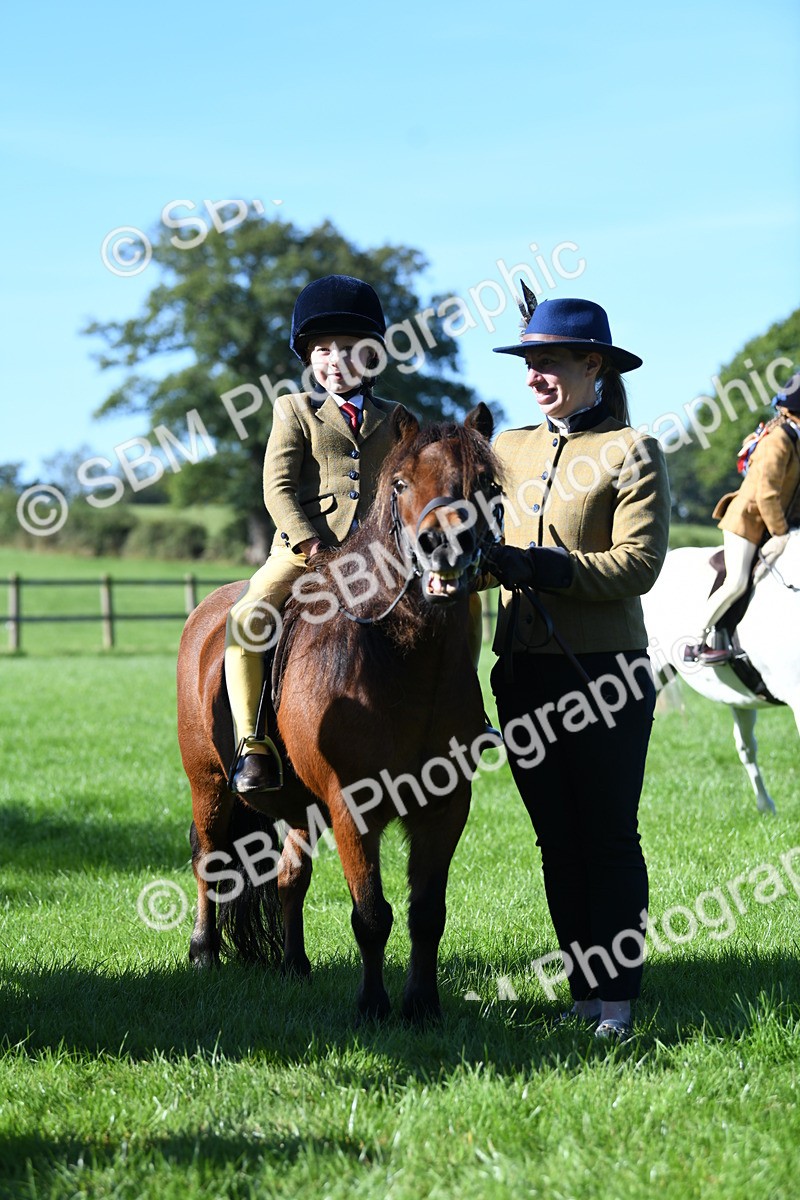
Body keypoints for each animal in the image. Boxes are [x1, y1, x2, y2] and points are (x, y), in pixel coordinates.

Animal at [176, 402, 502, 1021]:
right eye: (400, 484)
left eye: (487, 484)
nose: (444, 546)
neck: (404, 660)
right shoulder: (355, 805)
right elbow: (371, 914)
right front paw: (373, 1008)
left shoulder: (446, 807)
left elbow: (427, 915)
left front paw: (422, 1008)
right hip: (208, 783)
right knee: (209, 858)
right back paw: (204, 953)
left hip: (301, 805)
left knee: (289, 877)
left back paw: (294, 965)